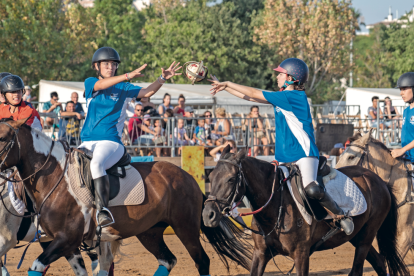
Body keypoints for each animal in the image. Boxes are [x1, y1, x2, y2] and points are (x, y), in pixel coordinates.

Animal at [0, 117, 252, 274]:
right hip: (150, 232)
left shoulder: (66, 239)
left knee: (202, 261)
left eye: (3, 138)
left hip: (185, 228)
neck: (56, 180)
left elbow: (36, 266)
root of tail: (188, 177)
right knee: (167, 260)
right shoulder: (63, 243)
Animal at [202, 148, 410, 276]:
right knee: (379, 262)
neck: (275, 206)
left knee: (358, 269)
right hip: (356, 237)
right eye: (210, 177)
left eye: (230, 179)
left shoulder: (301, 255)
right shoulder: (260, 253)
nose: (208, 214)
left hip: (367, 236)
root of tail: (378, 180)